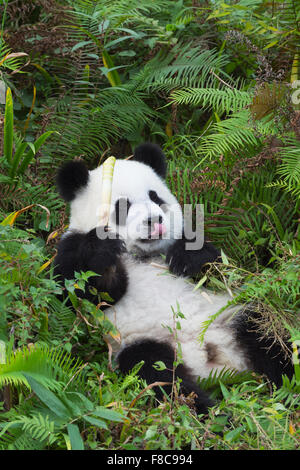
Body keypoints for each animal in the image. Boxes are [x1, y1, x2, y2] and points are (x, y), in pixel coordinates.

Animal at [53, 142, 292, 412]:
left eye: (155, 197)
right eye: (122, 206)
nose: (154, 220)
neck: (142, 254)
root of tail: (211, 360)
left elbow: (220, 269)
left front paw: (185, 259)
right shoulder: (71, 247)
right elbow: (80, 294)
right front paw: (105, 257)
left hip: (230, 315)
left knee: (269, 335)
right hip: (140, 343)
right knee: (158, 376)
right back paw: (205, 412)